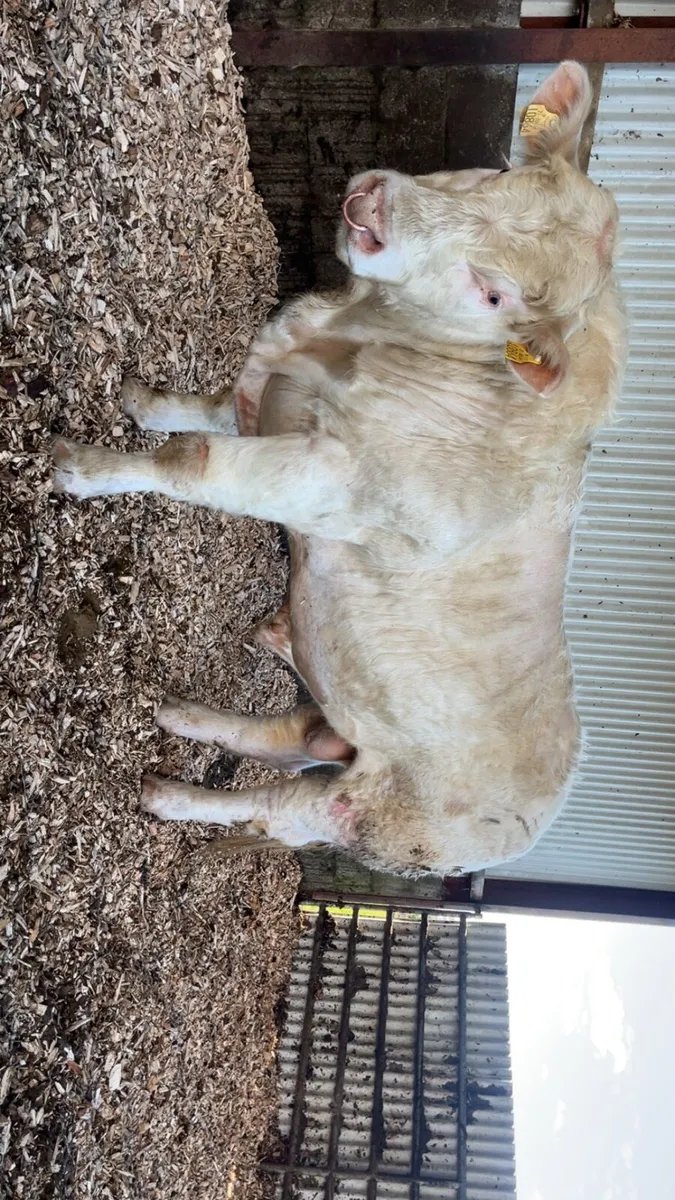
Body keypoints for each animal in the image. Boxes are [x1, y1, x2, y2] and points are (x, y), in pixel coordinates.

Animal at [52, 62, 626, 878]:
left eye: (494, 294)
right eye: (496, 172)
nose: (374, 205)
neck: (343, 336)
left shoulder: (330, 479)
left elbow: (193, 457)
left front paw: (79, 470)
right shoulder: (268, 398)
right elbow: (195, 415)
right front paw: (140, 399)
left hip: (365, 813)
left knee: (274, 805)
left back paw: (167, 796)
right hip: (334, 728)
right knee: (285, 739)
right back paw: (180, 715)